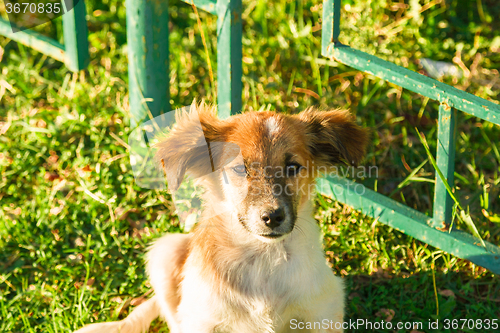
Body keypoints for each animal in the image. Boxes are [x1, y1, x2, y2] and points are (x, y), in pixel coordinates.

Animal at [75, 102, 372, 330]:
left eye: (292, 167)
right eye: (240, 169)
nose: (272, 217)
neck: (262, 259)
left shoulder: (322, 312)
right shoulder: (202, 320)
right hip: (166, 251)